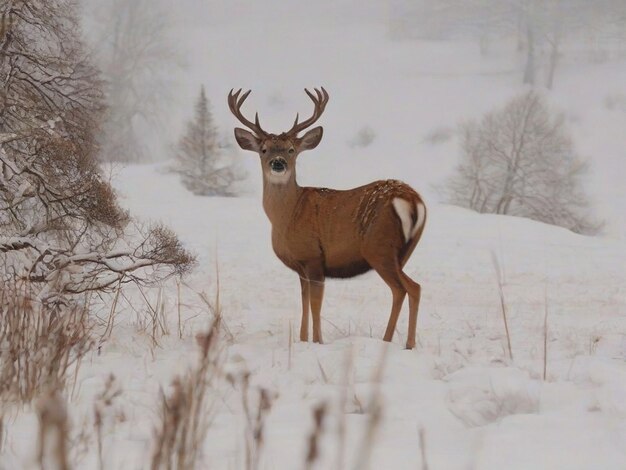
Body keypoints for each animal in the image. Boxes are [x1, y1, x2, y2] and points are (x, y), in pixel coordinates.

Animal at [227, 87, 426, 348]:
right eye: (264, 149)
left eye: (291, 150)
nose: (278, 163)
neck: (286, 216)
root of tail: (412, 199)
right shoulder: (301, 266)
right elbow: (303, 303)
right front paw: (303, 339)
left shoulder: (313, 257)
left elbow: (315, 304)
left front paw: (318, 342)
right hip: (403, 251)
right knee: (407, 289)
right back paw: (393, 341)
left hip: (379, 247)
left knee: (407, 288)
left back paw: (402, 343)